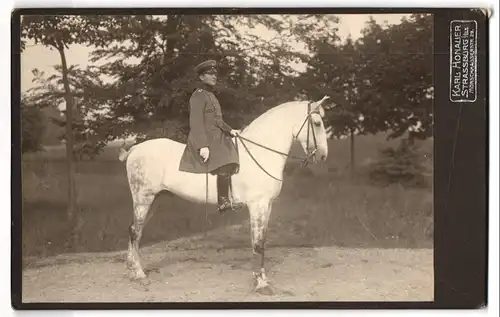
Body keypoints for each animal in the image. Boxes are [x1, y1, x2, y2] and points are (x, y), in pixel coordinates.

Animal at [119, 95, 332, 292]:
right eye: (317, 123)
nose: (323, 156)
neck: (259, 152)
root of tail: (134, 149)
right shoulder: (258, 205)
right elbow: (257, 243)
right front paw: (261, 284)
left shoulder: (267, 205)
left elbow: (262, 241)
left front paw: (262, 278)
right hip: (143, 199)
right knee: (134, 232)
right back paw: (138, 273)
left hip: (156, 200)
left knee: (135, 231)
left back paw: (133, 271)